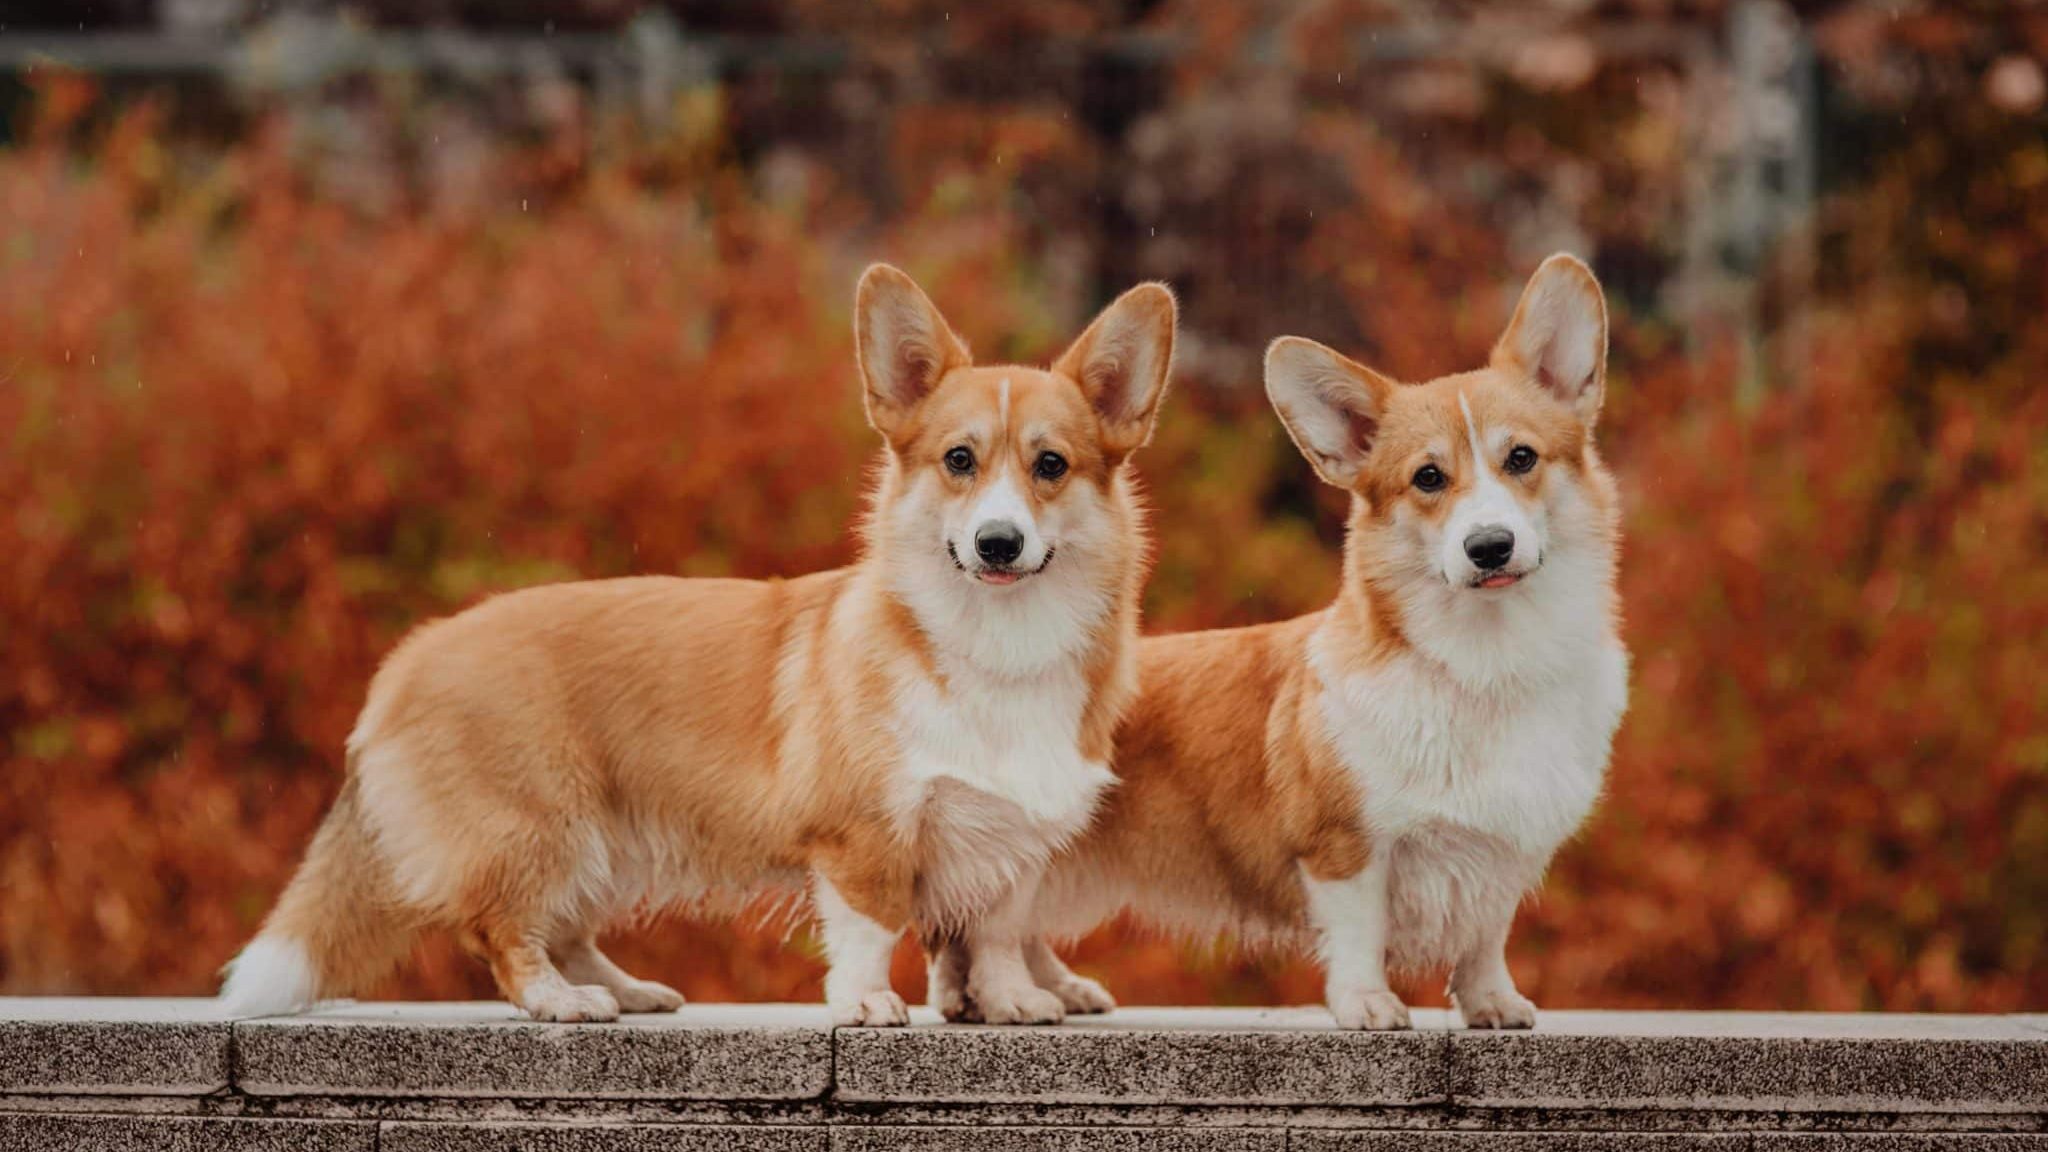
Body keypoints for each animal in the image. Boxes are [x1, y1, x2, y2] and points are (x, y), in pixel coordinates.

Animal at [216, 264, 1179, 1016]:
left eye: (1050, 466)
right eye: (958, 461)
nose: (997, 544)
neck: (998, 645)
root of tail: (405, 661)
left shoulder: (1012, 838)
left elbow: (998, 933)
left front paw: (1013, 1003)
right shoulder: (864, 834)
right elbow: (871, 929)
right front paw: (869, 1005)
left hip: (603, 847)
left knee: (565, 931)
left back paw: (629, 992)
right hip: (538, 832)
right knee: (503, 932)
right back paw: (561, 1003)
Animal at [937, 255, 1630, 1024]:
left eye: (1522, 458)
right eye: (1428, 478)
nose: (1489, 547)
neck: (1486, 663)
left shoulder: (1504, 850)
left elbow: (1485, 937)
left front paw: (1493, 1004)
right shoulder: (1342, 846)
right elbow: (1359, 931)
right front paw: (1367, 1005)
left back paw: (1054, 992)